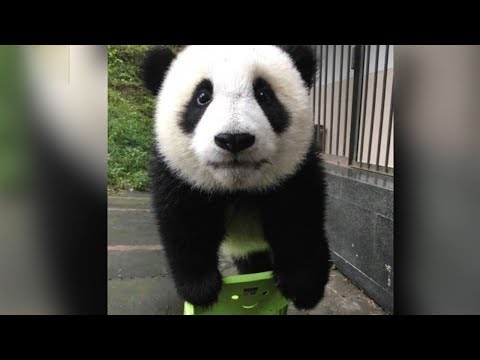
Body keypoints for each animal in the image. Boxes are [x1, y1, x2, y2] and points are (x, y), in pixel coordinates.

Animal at [141, 45, 332, 310]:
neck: (238, 187)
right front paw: (200, 289)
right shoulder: (178, 175)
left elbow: (299, 218)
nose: (234, 139)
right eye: (202, 97)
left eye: (263, 94)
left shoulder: (296, 171)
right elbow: (185, 223)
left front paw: (301, 285)